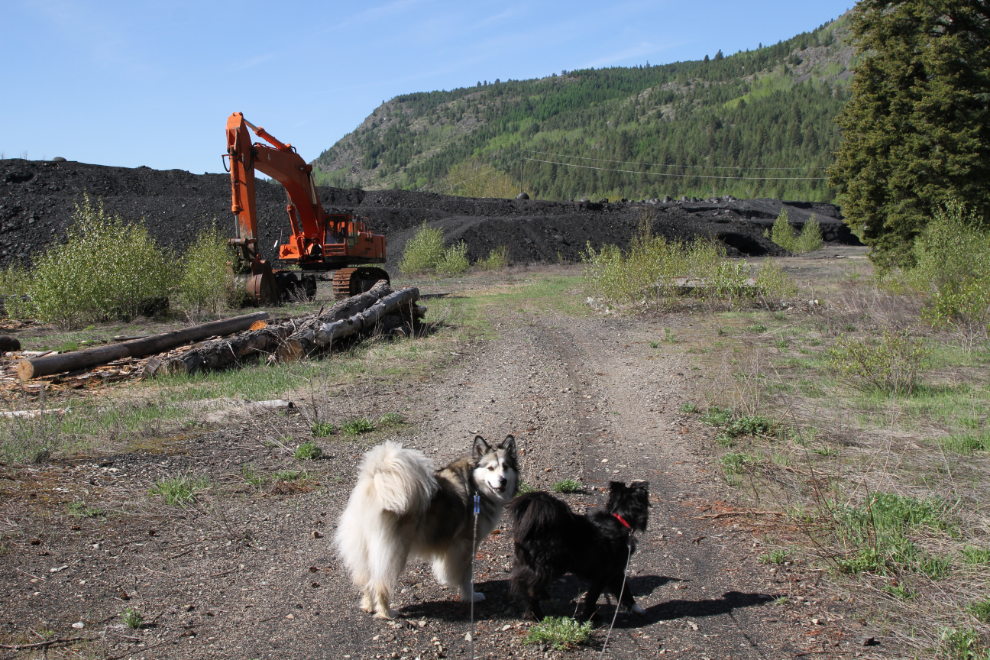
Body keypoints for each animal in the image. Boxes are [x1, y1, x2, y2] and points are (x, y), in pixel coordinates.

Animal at [512, 480, 652, 620]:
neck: (620, 520)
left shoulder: (615, 574)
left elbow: (624, 592)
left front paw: (636, 609)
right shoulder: (605, 575)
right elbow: (593, 597)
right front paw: (591, 616)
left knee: (525, 586)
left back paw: (535, 615)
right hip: (553, 565)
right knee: (531, 585)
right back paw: (541, 599)